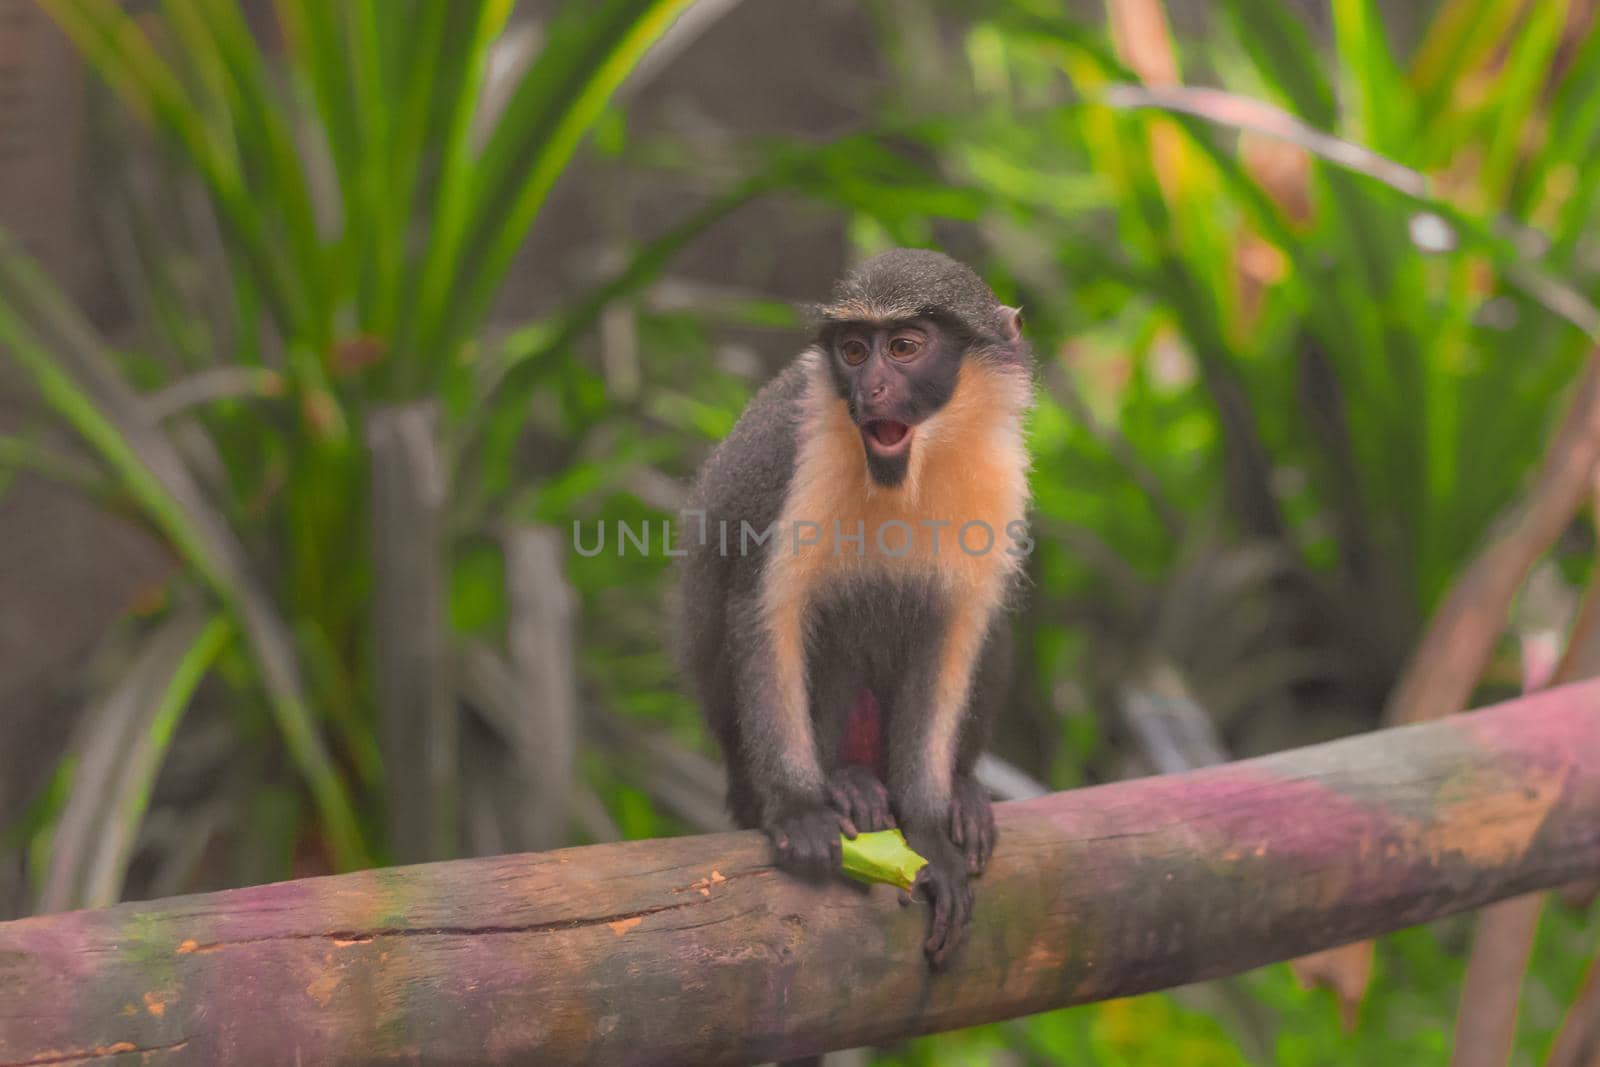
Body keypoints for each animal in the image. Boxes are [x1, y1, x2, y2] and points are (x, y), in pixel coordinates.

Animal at [678, 251, 1036, 966]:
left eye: (903, 348)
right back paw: (848, 785)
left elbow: (953, 632)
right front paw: (797, 810)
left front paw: (928, 830)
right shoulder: (794, 454)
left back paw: (959, 789)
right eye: (852, 350)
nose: (869, 390)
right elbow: (766, 611)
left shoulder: (1000, 482)